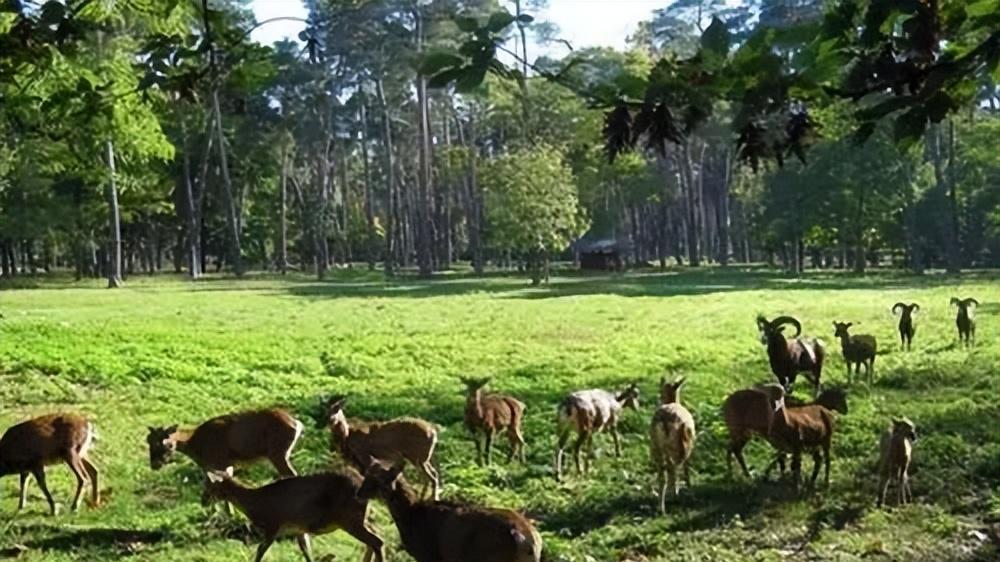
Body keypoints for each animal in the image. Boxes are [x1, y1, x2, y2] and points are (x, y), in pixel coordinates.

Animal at [205, 468, 384, 560]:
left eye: (208, 485)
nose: (203, 500)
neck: (256, 505)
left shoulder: (273, 524)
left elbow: (260, 550)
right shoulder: (298, 528)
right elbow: (306, 552)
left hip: (349, 518)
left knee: (377, 541)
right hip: (361, 517)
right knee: (375, 536)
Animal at [360, 460, 544, 560]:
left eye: (379, 479)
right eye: (367, 474)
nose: (359, 493)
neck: (412, 516)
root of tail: (528, 540)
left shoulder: (429, 556)